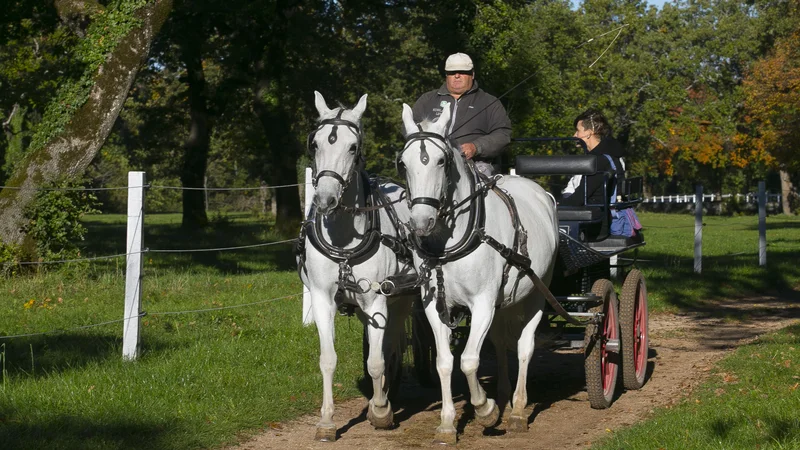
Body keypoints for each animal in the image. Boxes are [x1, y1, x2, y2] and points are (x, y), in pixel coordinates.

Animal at [296, 92, 416, 442]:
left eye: (353, 147)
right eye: (315, 143)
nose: (325, 199)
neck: (344, 239)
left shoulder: (376, 300)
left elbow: (376, 361)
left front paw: (380, 411)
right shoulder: (322, 299)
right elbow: (327, 360)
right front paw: (326, 421)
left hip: (401, 299)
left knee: (389, 345)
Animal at [398, 103, 560, 442]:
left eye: (441, 161)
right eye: (403, 163)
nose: (420, 222)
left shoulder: (483, 303)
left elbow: (470, 361)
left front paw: (485, 410)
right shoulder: (435, 306)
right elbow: (445, 362)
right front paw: (447, 423)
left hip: (538, 293)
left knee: (524, 347)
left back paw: (517, 410)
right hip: (503, 303)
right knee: (499, 343)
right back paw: (504, 396)